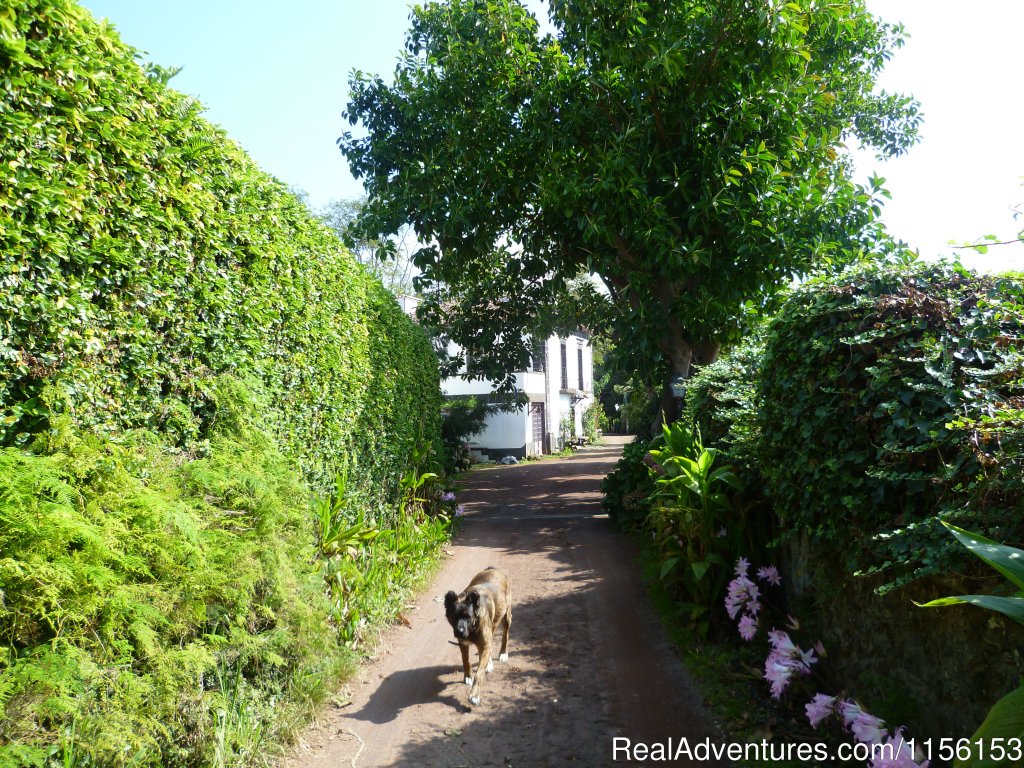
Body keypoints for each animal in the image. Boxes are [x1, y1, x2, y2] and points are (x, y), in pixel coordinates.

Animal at [442, 569, 509, 708]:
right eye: (453, 616)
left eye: (468, 616)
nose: (459, 631)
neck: (473, 626)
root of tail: (492, 568)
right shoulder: (463, 643)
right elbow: (466, 660)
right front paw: (468, 676)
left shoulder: (483, 644)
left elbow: (479, 674)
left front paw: (474, 695)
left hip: (506, 616)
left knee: (505, 635)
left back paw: (503, 653)